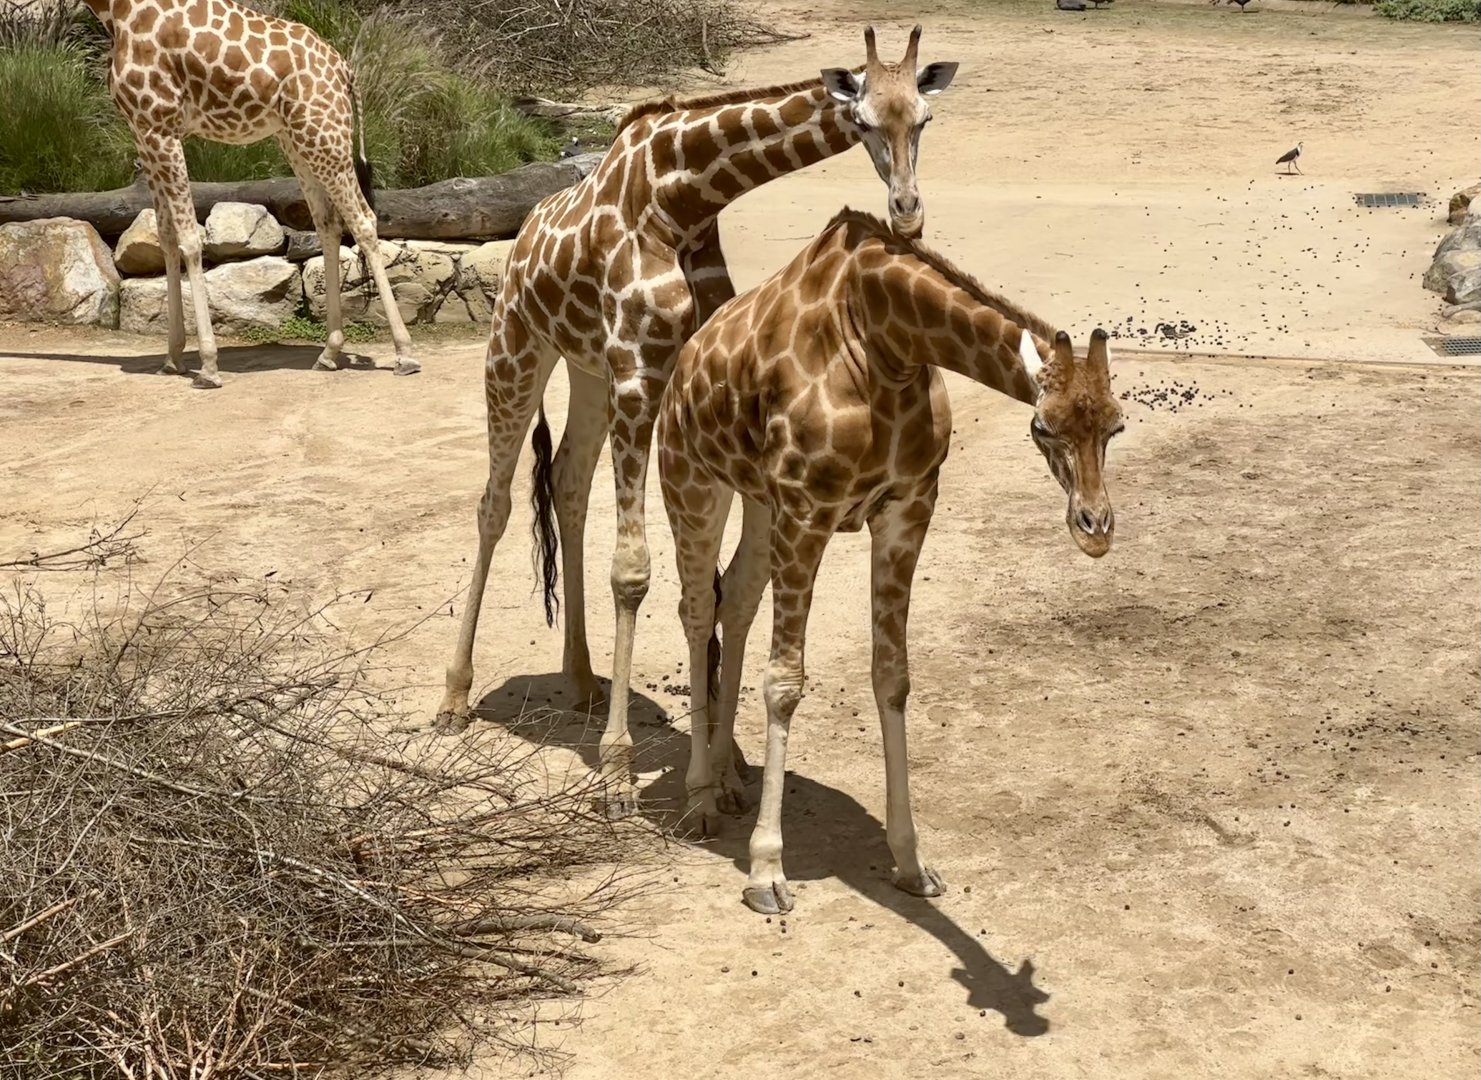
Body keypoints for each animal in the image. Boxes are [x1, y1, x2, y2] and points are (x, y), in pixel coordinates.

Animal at [83, 0, 420, 388]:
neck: (117, 12)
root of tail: (344, 69)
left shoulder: (161, 126)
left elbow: (189, 239)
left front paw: (208, 366)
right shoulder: (144, 130)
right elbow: (165, 238)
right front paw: (172, 358)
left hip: (325, 134)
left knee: (363, 220)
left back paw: (405, 353)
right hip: (297, 138)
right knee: (328, 224)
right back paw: (329, 353)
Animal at [434, 28, 960, 819]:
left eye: (923, 120)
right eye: (864, 120)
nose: (907, 212)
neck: (683, 197)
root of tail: (522, 231)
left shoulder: (678, 374)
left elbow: (712, 585)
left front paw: (729, 765)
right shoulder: (639, 371)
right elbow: (634, 573)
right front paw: (621, 770)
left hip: (588, 373)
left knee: (567, 485)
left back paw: (582, 681)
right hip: (517, 347)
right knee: (494, 503)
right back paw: (456, 697)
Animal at [656, 209, 1125, 914]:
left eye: (1117, 426)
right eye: (1043, 427)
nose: (1094, 529)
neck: (888, 342)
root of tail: (684, 362)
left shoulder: (908, 506)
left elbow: (893, 676)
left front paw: (911, 863)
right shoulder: (807, 509)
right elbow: (785, 683)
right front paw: (767, 871)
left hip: (759, 503)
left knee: (733, 600)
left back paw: (728, 780)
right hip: (692, 482)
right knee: (692, 608)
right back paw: (700, 801)